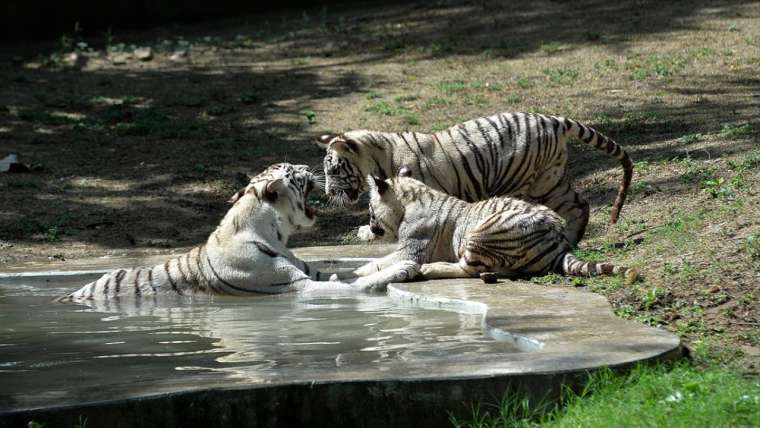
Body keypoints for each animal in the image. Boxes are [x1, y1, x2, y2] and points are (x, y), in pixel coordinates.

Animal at [60, 162, 418, 302]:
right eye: (294, 173)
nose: (306, 166)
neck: (274, 233)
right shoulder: (300, 287)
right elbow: (356, 283)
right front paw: (403, 267)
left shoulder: (310, 273)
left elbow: (359, 270)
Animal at [318, 110, 632, 246]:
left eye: (333, 170)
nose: (329, 194)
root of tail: (552, 119)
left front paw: (366, 232)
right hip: (550, 179)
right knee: (579, 204)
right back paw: (572, 239)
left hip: (530, 182)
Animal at [336, 169, 640, 286]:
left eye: (370, 209)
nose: (370, 225)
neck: (409, 201)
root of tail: (559, 240)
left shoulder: (411, 251)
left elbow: (380, 261)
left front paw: (357, 272)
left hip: (481, 232)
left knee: (467, 269)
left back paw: (430, 270)